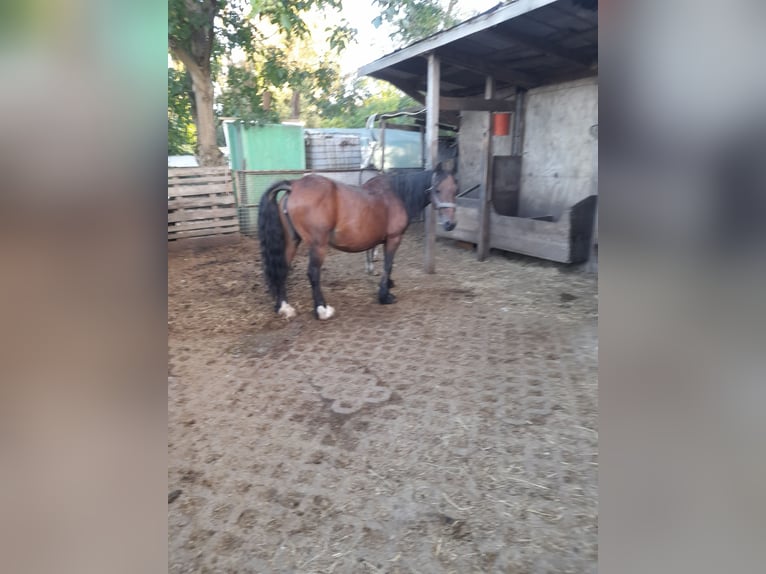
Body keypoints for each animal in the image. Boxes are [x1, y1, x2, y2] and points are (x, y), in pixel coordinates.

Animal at [257, 164, 458, 320]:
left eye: (454, 191)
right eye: (437, 189)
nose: (451, 224)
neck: (396, 195)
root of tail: (294, 185)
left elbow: (386, 264)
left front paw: (388, 284)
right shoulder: (394, 238)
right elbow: (388, 264)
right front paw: (385, 295)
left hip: (292, 241)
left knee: (283, 269)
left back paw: (284, 307)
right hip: (318, 245)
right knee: (313, 273)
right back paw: (322, 310)